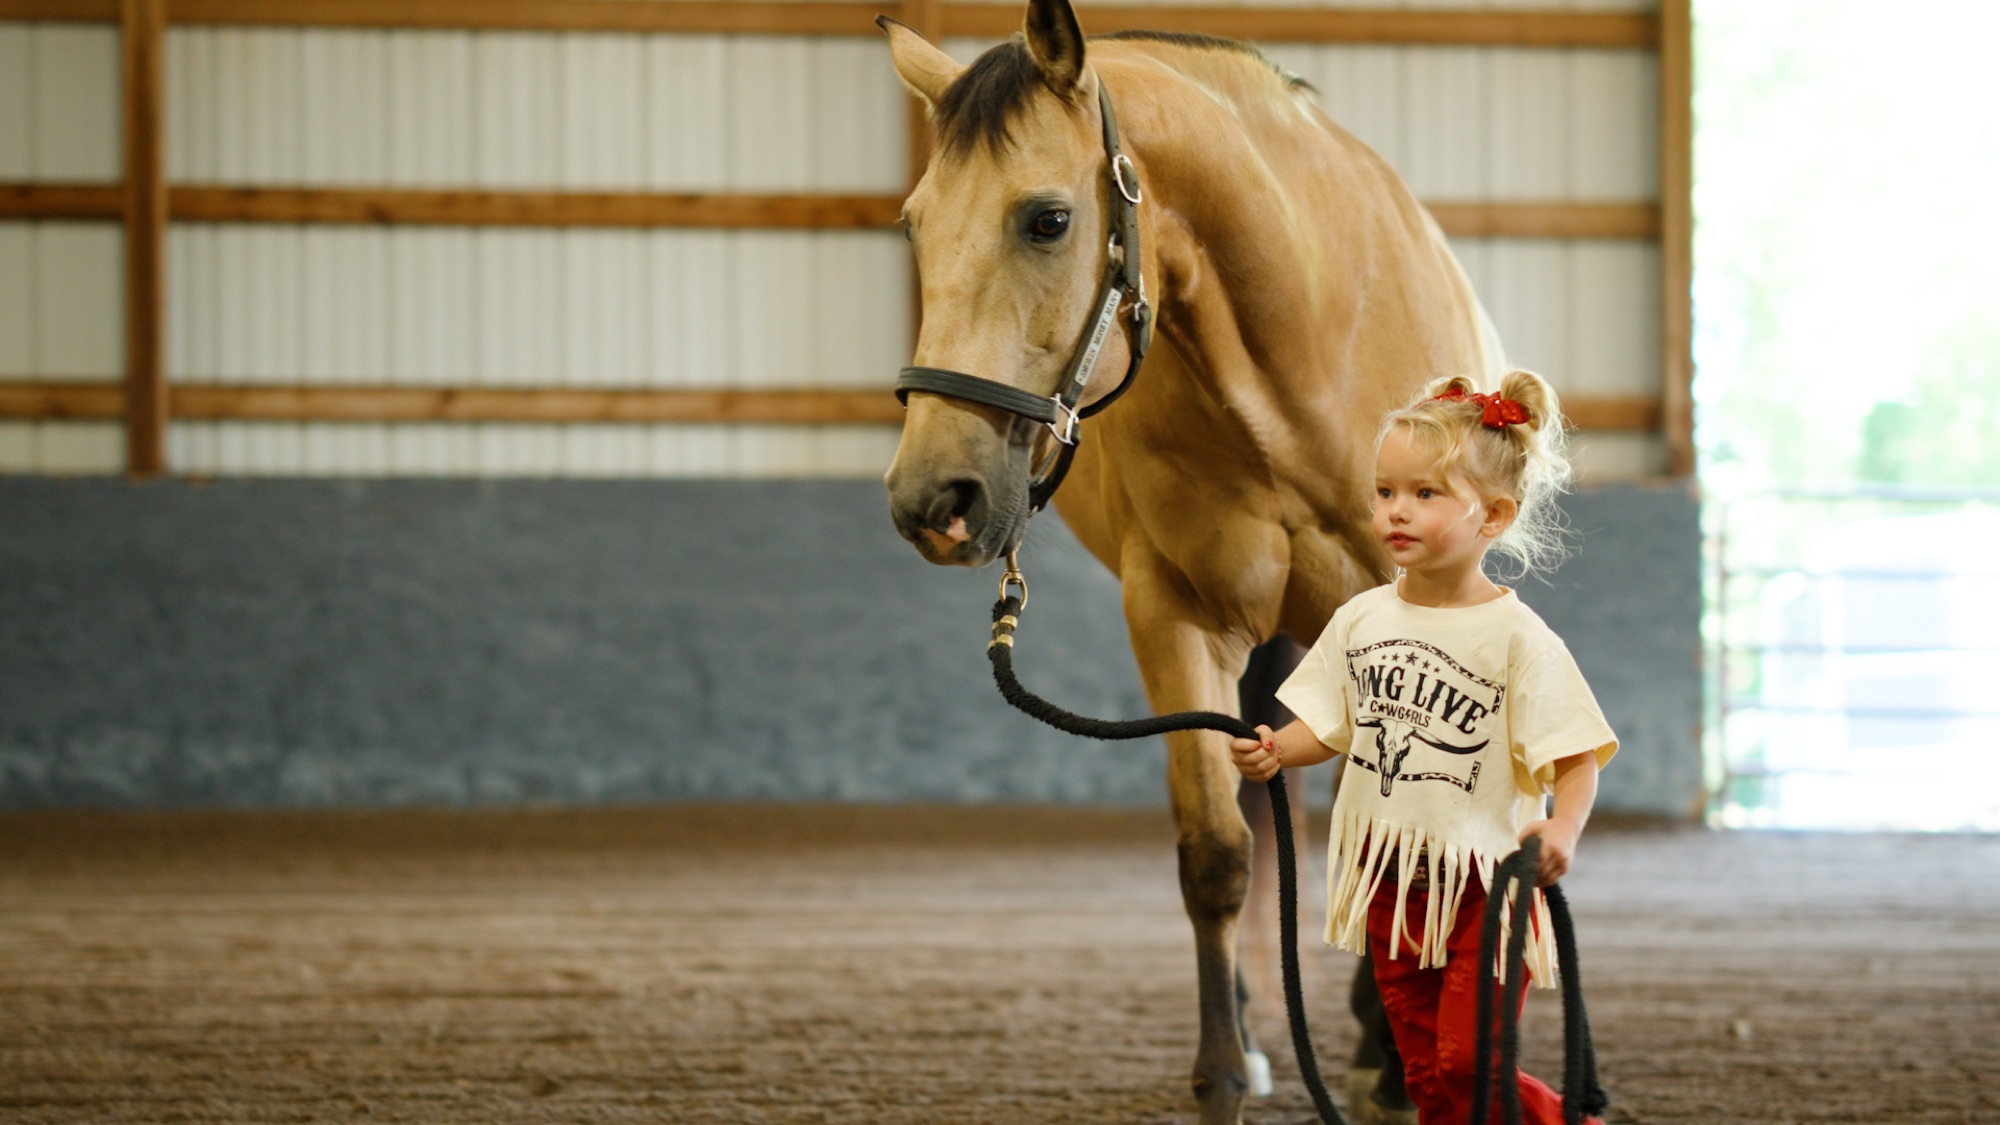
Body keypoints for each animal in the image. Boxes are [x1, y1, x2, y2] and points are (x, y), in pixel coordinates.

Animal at [878, 1, 1500, 1120]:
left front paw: (1396, 1066)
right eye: (913, 223)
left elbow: (1392, 827)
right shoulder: (1176, 617)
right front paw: (1220, 1075)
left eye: (1046, 219)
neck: (1301, 364)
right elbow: (1215, 851)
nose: (930, 501)